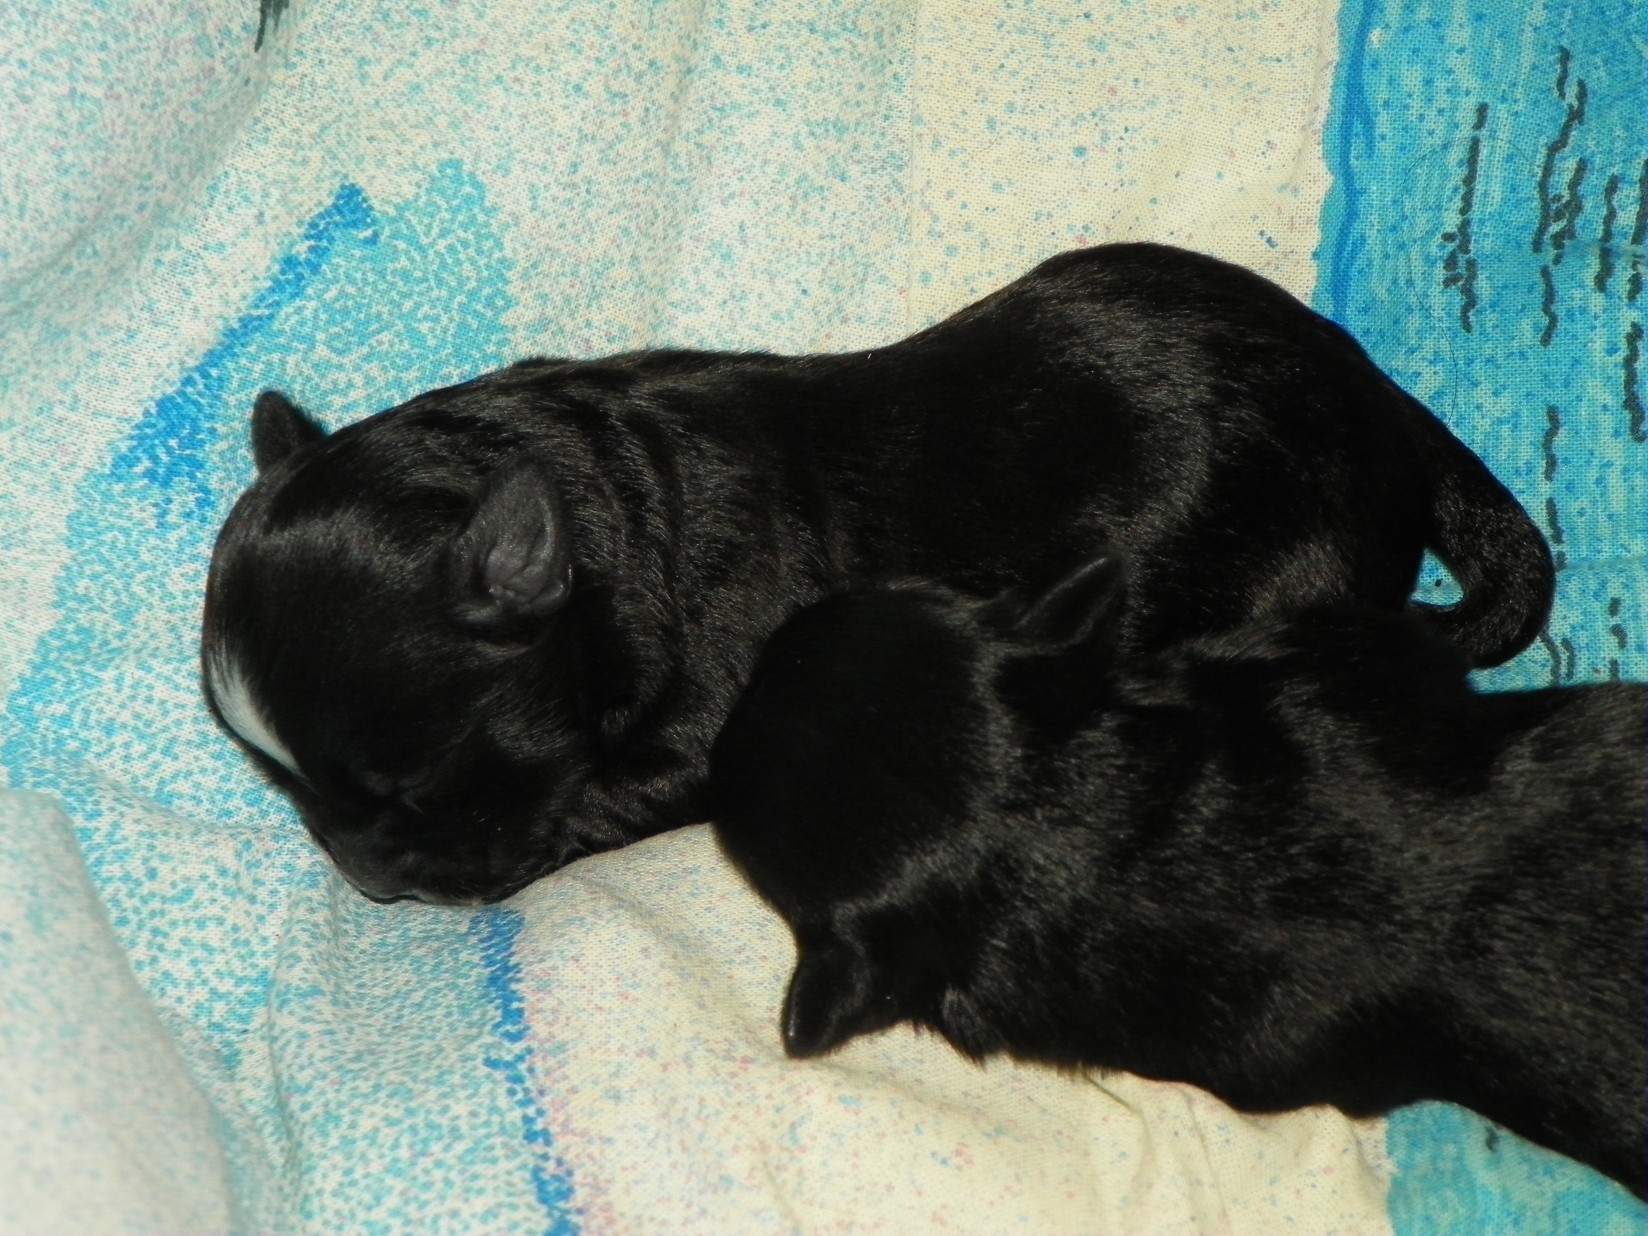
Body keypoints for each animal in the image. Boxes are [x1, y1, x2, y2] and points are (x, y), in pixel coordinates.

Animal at [202, 242, 1554, 904]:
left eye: (418, 790)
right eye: (281, 793)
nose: (368, 878)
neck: (597, 513)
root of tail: (1388, 417)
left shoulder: (704, 714)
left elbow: (602, 794)